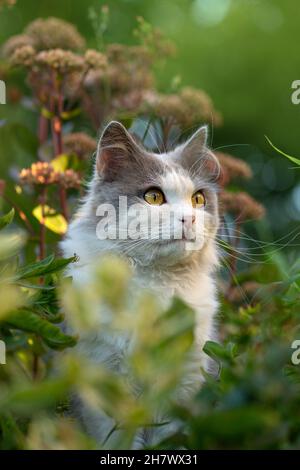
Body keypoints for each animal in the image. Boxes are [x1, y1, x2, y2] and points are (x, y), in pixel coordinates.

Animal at [61, 120, 220, 448]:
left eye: (198, 199)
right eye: (153, 197)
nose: (189, 219)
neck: (156, 283)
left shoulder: (184, 383)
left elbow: (170, 437)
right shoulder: (103, 382)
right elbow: (116, 439)